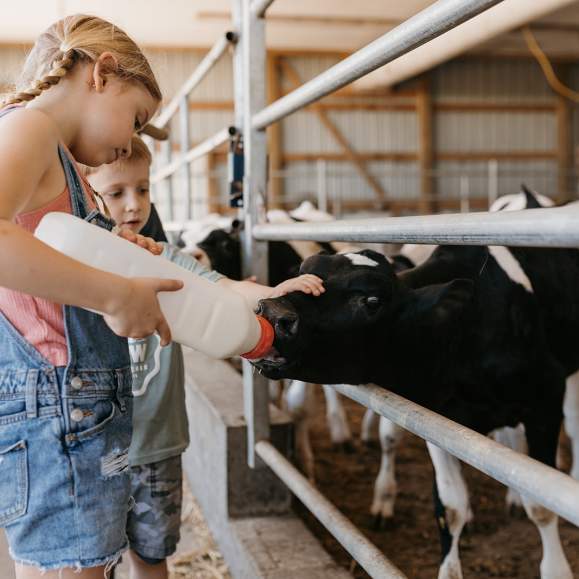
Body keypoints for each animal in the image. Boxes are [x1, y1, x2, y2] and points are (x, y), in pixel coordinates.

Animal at [256, 229, 576, 579]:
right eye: (302, 272)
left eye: (371, 301)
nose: (274, 312)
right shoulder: (439, 419)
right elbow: (450, 505)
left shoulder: (547, 397)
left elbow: (542, 501)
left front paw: (557, 568)